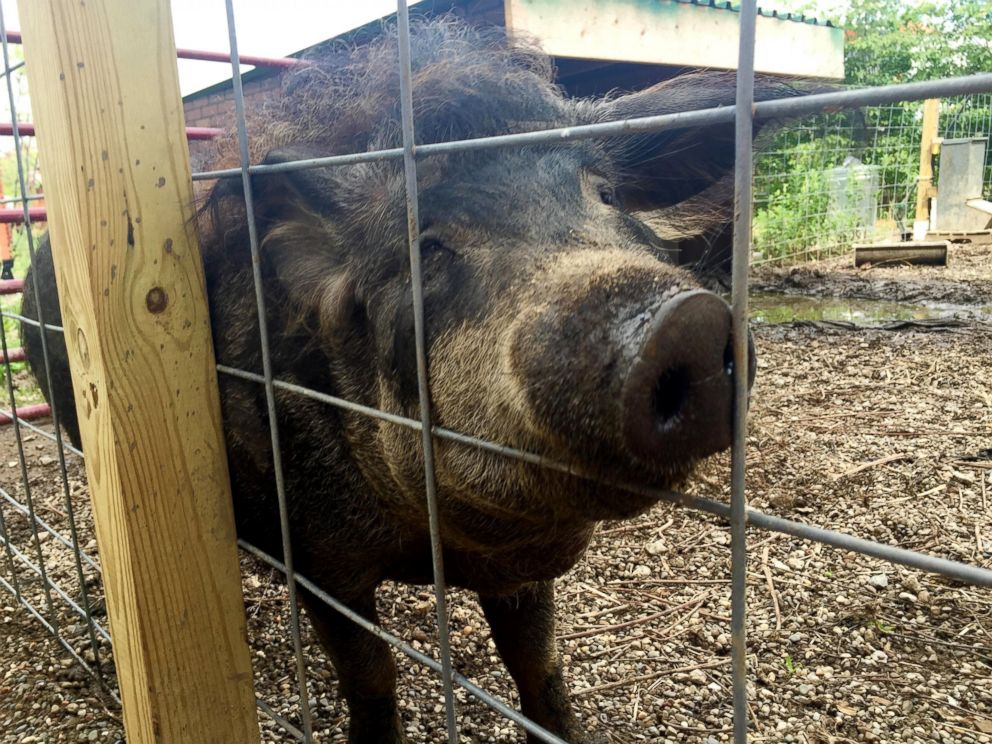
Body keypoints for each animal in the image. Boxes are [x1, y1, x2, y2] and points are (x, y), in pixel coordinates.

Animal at [23, 18, 812, 744]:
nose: (684, 320)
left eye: (608, 196)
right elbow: (369, 673)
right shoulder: (321, 561)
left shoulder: (519, 568)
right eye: (426, 248)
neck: (431, 547)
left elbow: (538, 664)